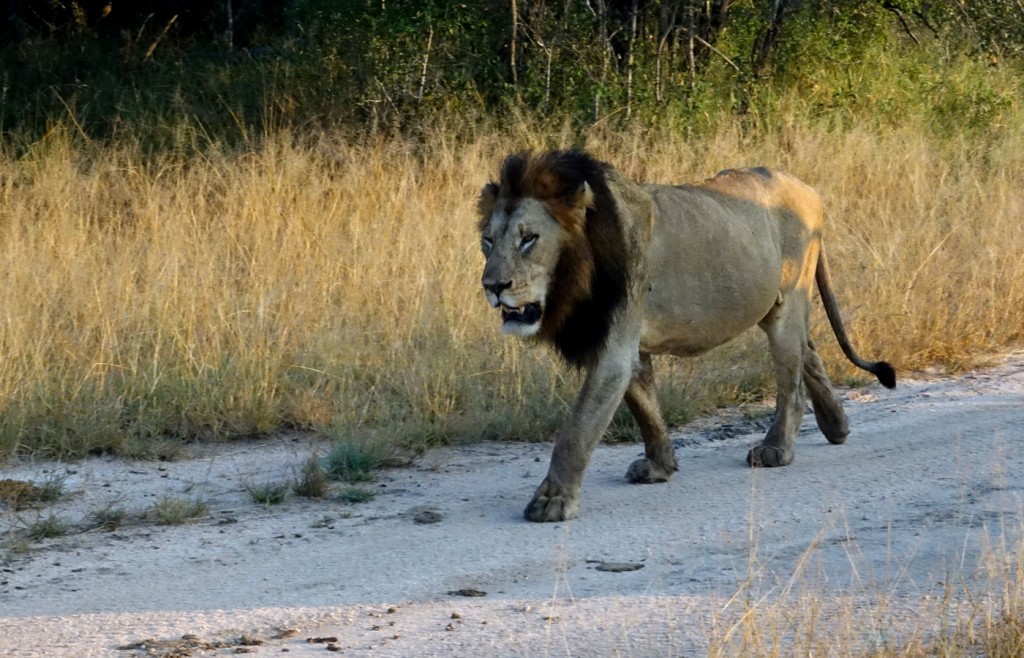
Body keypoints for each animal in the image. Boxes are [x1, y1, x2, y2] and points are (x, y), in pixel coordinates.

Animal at [475, 149, 892, 523]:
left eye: (529, 239)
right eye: (488, 241)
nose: (492, 286)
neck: (576, 270)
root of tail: (806, 187)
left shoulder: (613, 349)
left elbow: (575, 433)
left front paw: (552, 501)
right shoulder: (625, 344)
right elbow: (645, 407)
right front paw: (660, 466)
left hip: (787, 304)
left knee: (792, 380)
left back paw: (777, 449)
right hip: (768, 303)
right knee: (810, 350)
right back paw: (837, 426)